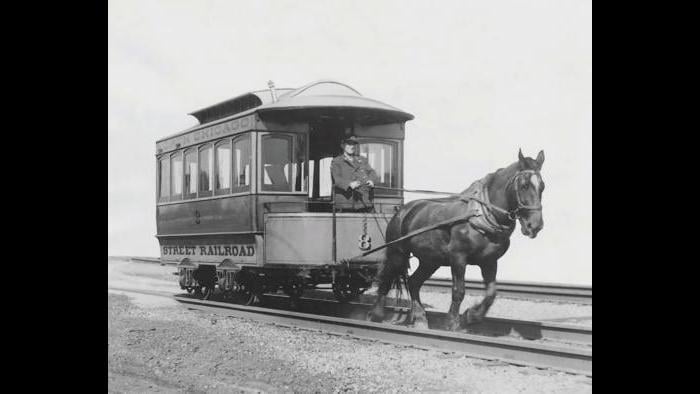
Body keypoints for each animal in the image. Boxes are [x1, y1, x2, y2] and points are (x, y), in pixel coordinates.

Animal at [370, 148, 544, 330]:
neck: (479, 215)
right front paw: (453, 322)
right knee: (386, 278)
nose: (535, 225)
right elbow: (459, 290)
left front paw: (472, 315)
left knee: (413, 282)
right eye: (524, 185)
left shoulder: (489, 261)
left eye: (543, 187)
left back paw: (420, 317)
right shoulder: (458, 257)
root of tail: (403, 211)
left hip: (431, 260)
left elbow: (491, 293)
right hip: (397, 253)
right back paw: (377, 314)